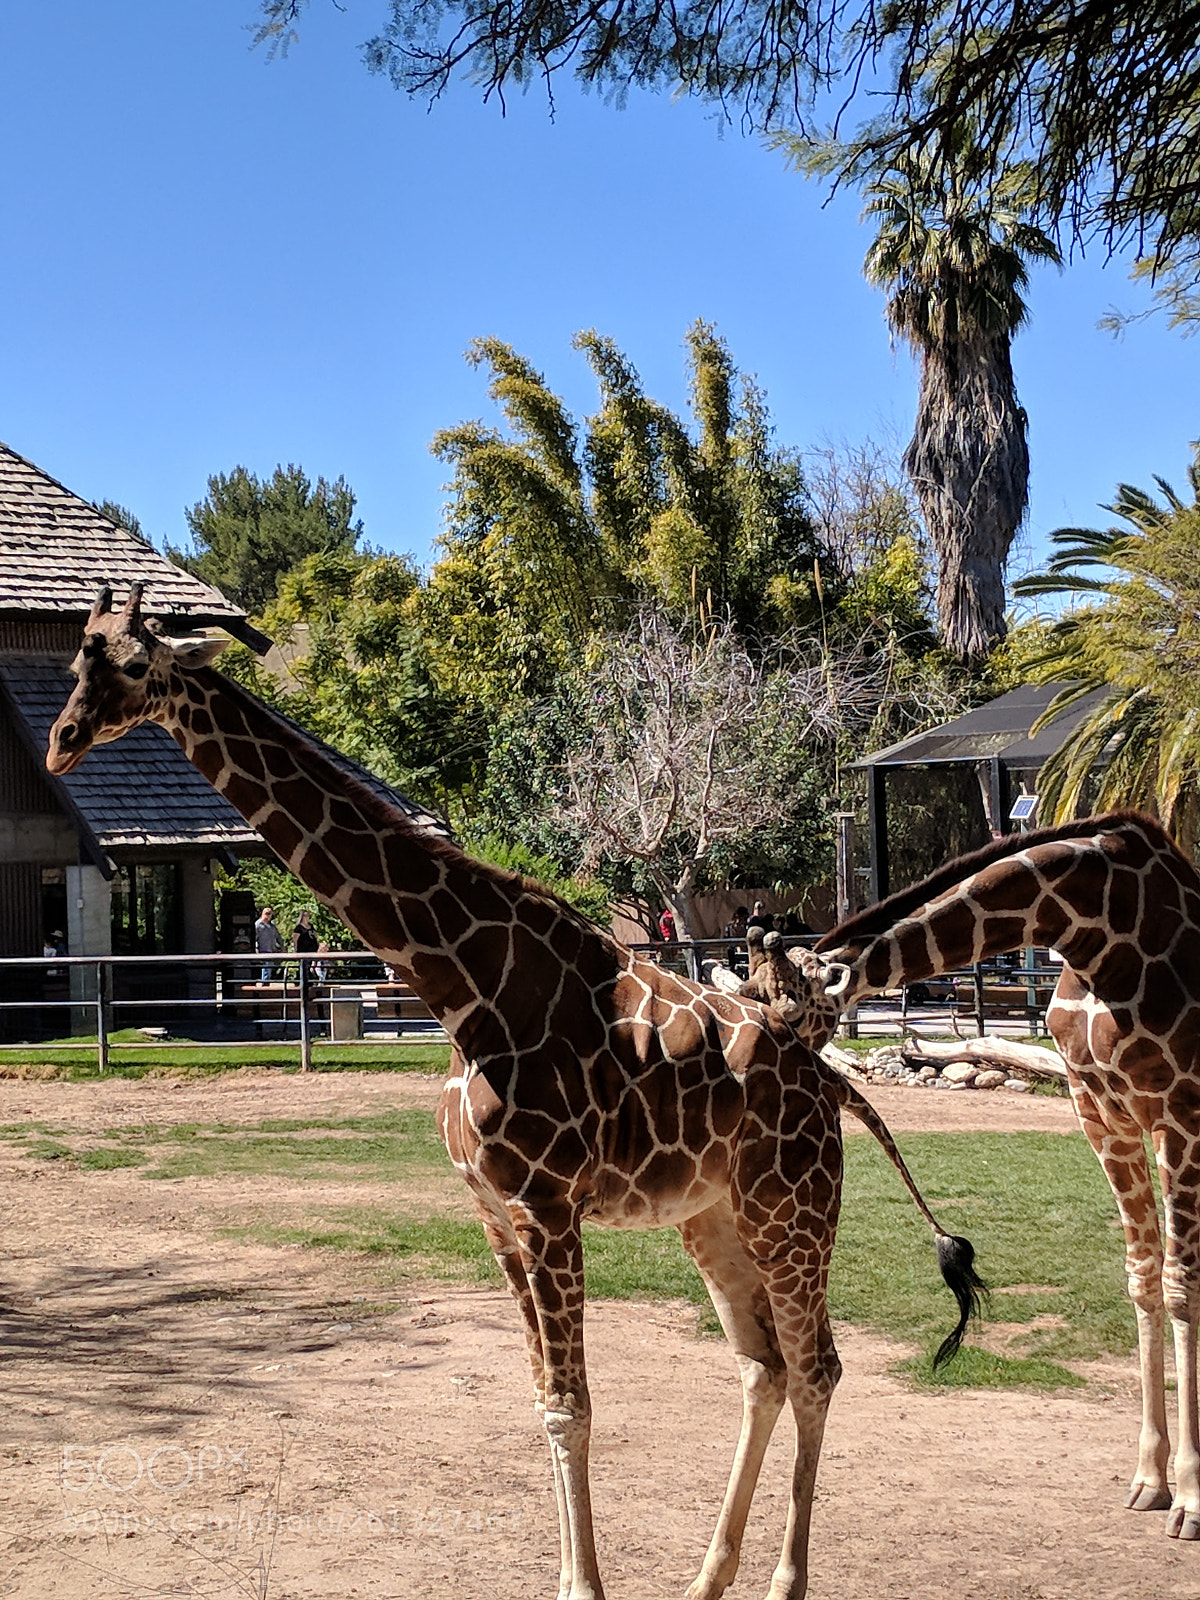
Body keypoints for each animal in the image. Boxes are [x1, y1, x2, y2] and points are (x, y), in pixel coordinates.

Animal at [46, 585, 984, 1600]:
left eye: (136, 664)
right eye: (75, 658)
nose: (61, 740)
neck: (461, 986)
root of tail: (830, 1081)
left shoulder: (546, 1203)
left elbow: (574, 1406)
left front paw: (584, 1588)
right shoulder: (493, 1212)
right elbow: (543, 1401)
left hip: (793, 1208)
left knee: (818, 1368)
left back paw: (782, 1583)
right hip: (716, 1215)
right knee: (763, 1368)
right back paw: (705, 1580)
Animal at [809, 810, 1200, 1542]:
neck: (1096, 931)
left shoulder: (1179, 1113)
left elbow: (1181, 1284)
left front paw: (1190, 1498)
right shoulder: (1100, 1111)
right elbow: (1143, 1277)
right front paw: (1148, 1480)